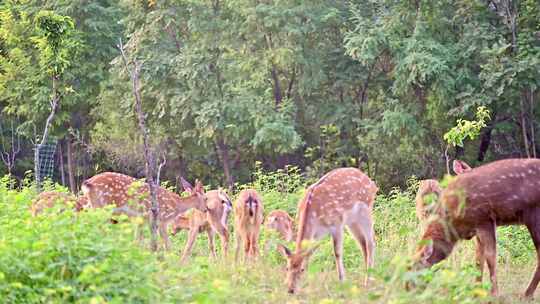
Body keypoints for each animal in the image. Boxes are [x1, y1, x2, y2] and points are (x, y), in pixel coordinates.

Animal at [414, 158, 540, 298]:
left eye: (413, 268)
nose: (406, 288)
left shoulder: (484, 219)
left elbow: (490, 257)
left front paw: (494, 293)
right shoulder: (476, 228)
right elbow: (479, 258)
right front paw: (476, 291)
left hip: (534, 214)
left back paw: (527, 294)